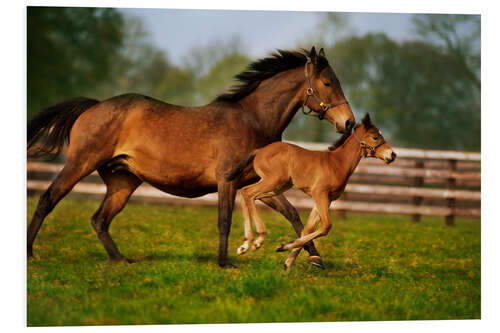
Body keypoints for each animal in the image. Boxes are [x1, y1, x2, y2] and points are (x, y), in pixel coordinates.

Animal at [226, 113, 394, 268]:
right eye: (375, 137)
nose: (392, 154)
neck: (337, 163)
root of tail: (259, 150)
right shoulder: (319, 194)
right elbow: (326, 226)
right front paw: (283, 247)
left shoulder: (326, 199)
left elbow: (307, 230)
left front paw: (288, 261)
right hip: (273, 181)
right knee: (248, 192)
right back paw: (257, 239)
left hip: (279, 186)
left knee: (248, 194)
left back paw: (246, 244)